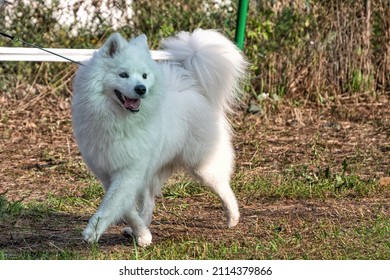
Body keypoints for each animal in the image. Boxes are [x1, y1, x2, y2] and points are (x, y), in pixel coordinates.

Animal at [71, 29, 245, 247]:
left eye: (144, 76)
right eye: (123, 74)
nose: (141, 88)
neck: (119, 120)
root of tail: (195, 90)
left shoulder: (129, 171)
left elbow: (111, 204)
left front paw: (93, 231)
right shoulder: (109, 172)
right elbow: (126, 208)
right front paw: (142, 234)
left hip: (203, 166)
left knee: (224, 188)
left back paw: (233, 218)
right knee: (148, 202)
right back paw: (138, 230)